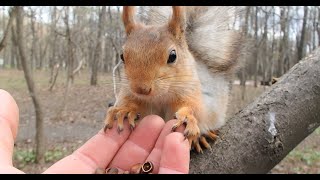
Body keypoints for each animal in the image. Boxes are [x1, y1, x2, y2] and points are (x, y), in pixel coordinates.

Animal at [104, 6, 244, 153]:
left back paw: (201, 137)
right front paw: (125, 110)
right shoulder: (129, 92)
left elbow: (193, 107)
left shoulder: (190, 90)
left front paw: (187, 116)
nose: (141, 89)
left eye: (173, 56)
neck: (160, 97)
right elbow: (132, 105)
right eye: (122, 56)